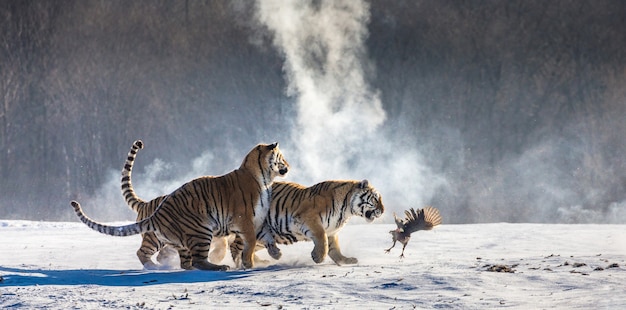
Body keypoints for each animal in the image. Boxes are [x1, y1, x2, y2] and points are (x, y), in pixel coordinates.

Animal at [69, 142, 288, 270]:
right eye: (282, 158)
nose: (288, 166)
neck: (263, 177)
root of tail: (156, 209)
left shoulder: (257, 222)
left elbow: (265, 238)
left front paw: (275, 254)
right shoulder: (245, 221)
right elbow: (248, 244)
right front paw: (248, 264)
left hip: (175, 241)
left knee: (184, 261)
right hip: (199, 231)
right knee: (185, 258)